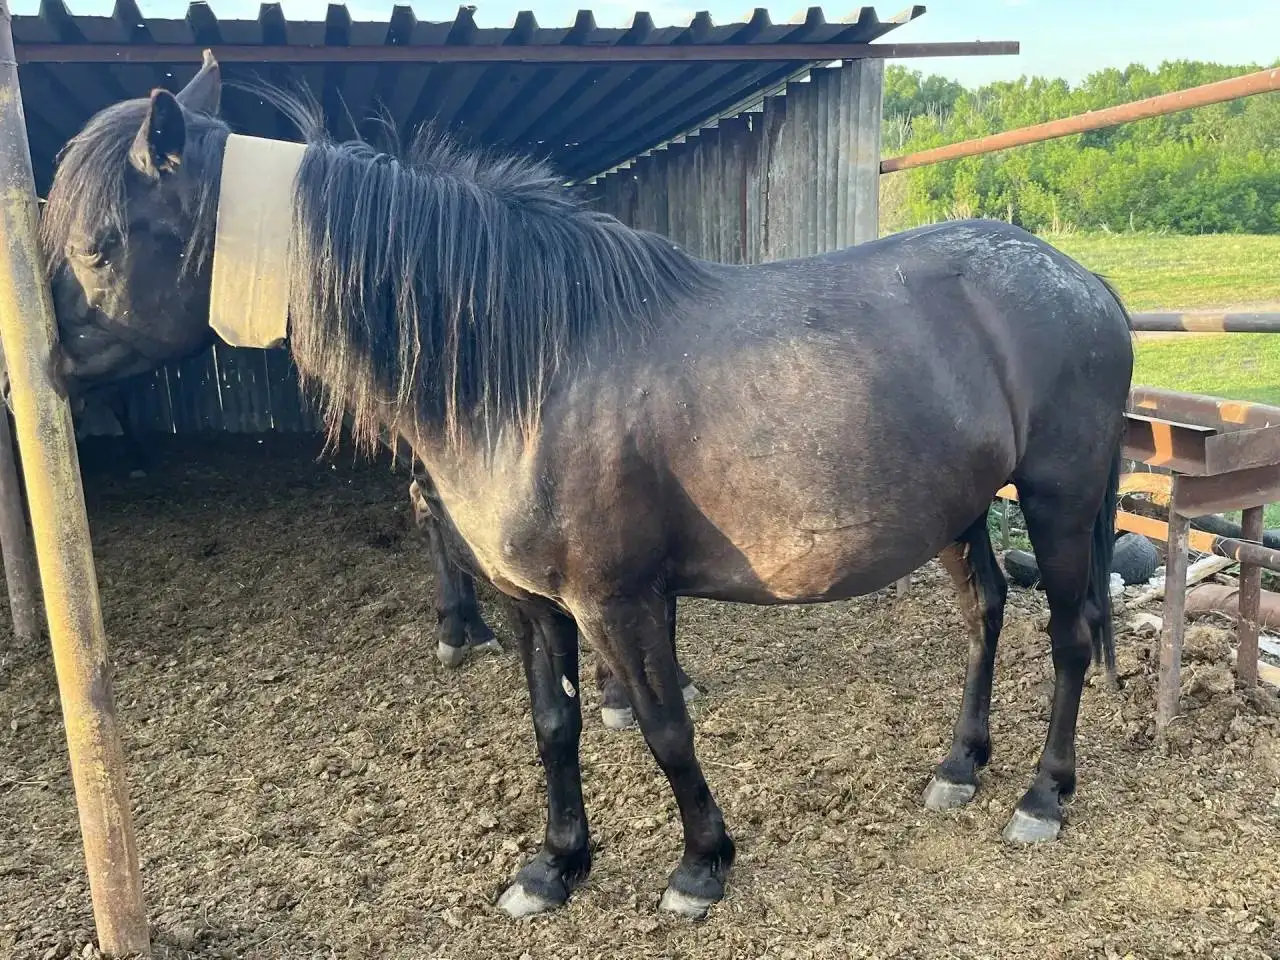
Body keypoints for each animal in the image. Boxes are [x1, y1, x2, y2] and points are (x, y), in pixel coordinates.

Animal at [35, 55, 1134, 920]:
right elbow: (553, 725)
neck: (536, 367)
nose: (38, 372)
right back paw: (958, 766)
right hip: (960, 509)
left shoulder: (619, 601)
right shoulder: (533, 604)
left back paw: (1042, 796)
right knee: (984, 612)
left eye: (96, 247)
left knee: (1068, 637)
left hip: (1057, 502)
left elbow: (662, 727)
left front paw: (700, 865)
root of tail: (1082, 282)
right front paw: (555, 867)